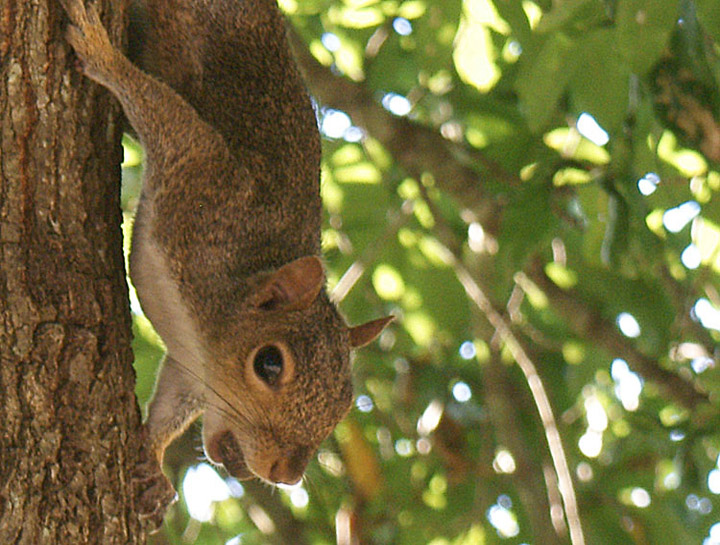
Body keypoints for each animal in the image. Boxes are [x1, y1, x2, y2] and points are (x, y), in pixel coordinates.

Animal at [58, 0, 390, 524]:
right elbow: (160, 109)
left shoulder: (192, 364)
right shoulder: (206, 174)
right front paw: (100, 52)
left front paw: (151, 464)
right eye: (269, 364)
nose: (284, 475)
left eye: (344, 404)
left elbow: (172, 403)